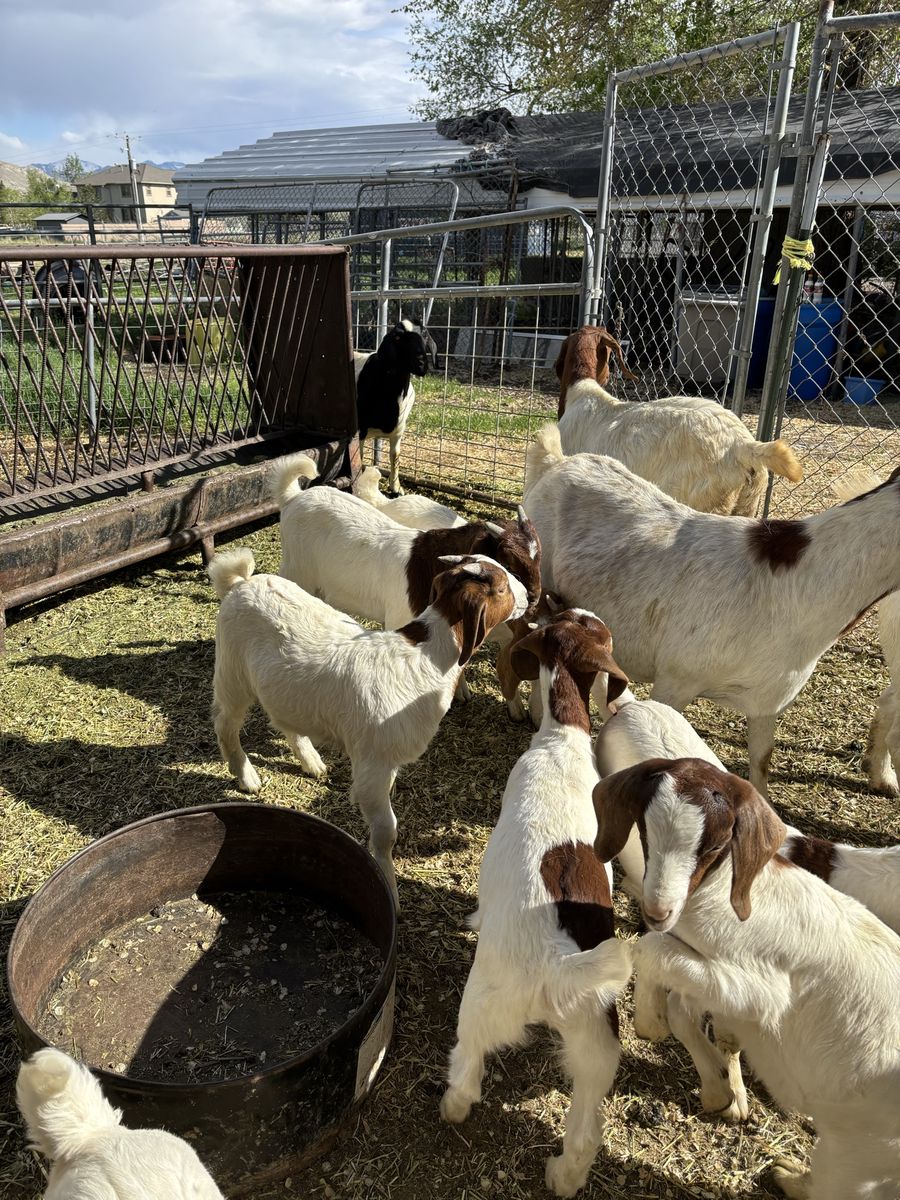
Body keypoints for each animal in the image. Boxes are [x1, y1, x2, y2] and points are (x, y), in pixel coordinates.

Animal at [209, 549, 526, 905]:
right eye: (502, 588)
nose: (529, 595)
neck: (423, 658)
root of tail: (241, 582)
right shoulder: (375, 762)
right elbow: (386, 831)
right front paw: (389, 888)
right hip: (232, 672)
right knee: (225, 722)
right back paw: (247, 777)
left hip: (283, 689)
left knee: (284, 719)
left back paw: (311, 762)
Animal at [272, 452, 540, 633]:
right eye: (507, 562)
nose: (533, 598)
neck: (428, 563)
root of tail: (294, 496)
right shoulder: (400, 619)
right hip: (296, 570)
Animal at [355, 318, 438, 496]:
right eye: (398, 337)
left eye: (424, 334)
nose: (421, 363)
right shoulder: (359, 430)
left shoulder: (398, 431)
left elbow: (395, 456)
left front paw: (396, 488)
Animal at [441, 611, 632, 1197]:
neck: (560, 740)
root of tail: (556, 964)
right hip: (597, 1043)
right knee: (586, 1132)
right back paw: (562, 1178)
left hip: (482, 1003)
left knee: (468, 1067)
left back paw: (451, 1106)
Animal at [594, 757, 900, 1200]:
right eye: (645, 829)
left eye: (714, 847)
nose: (657, 911)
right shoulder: (710, 980)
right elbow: (686, 1007)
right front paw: (719, 1089)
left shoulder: (757, 994)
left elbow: (650, 949)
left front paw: (649, 1023)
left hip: (859, 1154)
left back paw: (790, 1177)